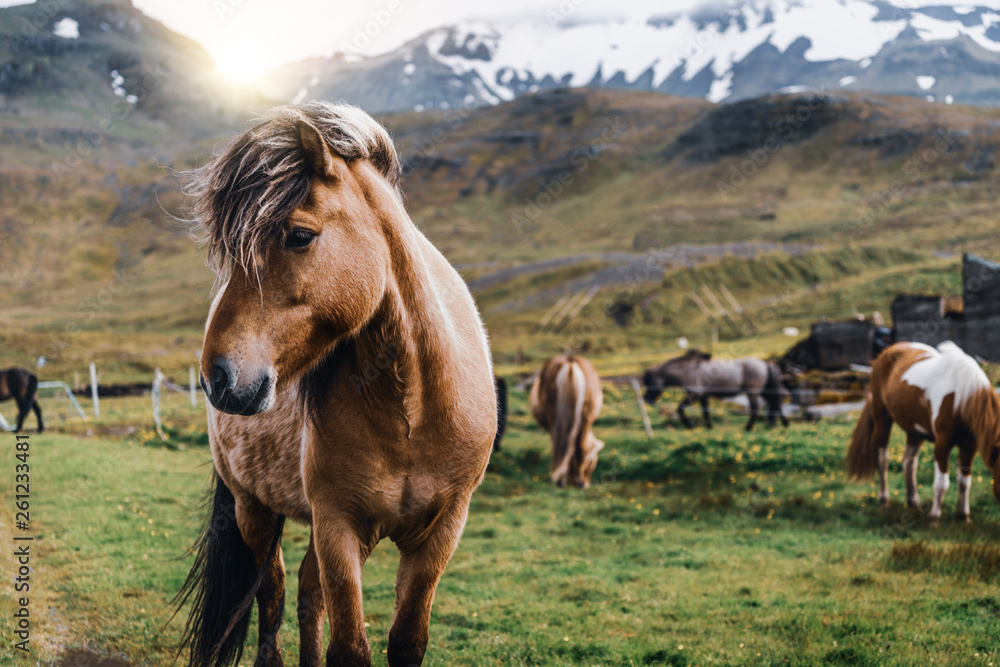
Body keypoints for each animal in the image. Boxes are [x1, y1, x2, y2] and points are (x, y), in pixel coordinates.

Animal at [177, 100, 500, 667]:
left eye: (299, 235)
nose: (218, 378)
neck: (413, 412)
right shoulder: (339, 526)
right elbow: (349, 646)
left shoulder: (441, 532)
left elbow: (406, 641)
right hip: (252, 507)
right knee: (273, 595)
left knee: (308, 593)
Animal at [528, 354, 604, 490]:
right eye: (593, 461)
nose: (587, 483)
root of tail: (570, 362)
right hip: (584, 419)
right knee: (578, 446)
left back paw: (562, 479)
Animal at [640, 350, 788, 434]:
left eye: (649, 381)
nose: (647, 400)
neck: (688, 369)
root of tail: (765, 363)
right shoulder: (703, 396)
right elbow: (705, 411)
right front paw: (709, 426)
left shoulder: (695, 394)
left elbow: (680, 408)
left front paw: (689, 425)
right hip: (764, 391)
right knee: (776, 404)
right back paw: (779, 424)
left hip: (753, 392)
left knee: (756, 409)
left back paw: (748, 427)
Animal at [844, 342, 1000, 524]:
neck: (962, 399)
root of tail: (887, 351)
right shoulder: (942, 444)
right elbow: (941, 483)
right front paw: (934, 517)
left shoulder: (969, 446)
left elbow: (964, 481)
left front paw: (964, 515)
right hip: (882, 419)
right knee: (883, 459)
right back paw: (884, 501)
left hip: (914, 432)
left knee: (909, 463)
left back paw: (913, 502)